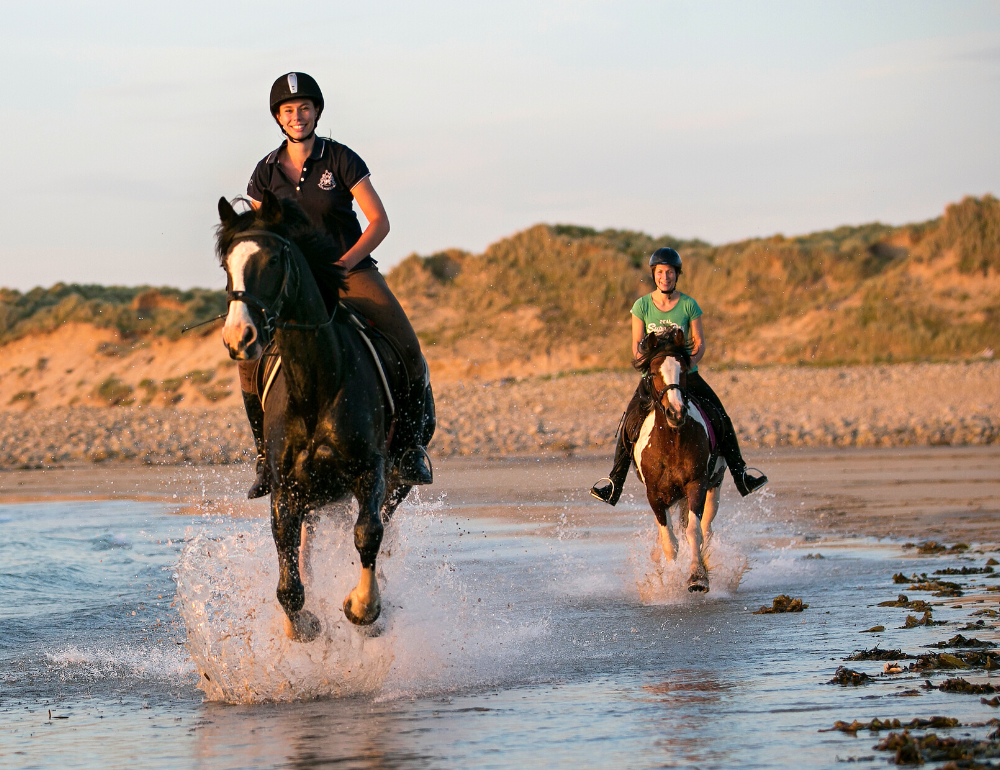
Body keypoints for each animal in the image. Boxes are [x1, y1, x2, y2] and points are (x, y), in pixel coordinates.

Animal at [217, 190, 428, 636]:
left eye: (273, 261)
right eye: (227, 265)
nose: (238, 336)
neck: (316, 381)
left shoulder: (370, 469)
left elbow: (368, 534)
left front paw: (363, 607)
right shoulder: (285, 488)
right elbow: (288, 564)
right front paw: (300, 624)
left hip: (399, 479)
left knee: (383, 527)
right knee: (307, 544)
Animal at [632, 328, 720, 592]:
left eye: (683, 371)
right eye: (653, 373)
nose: (676, 412)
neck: (671, 442)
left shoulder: (697, 484)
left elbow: (693, 532)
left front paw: (697, 577)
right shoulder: (654, 494)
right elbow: (669, 542)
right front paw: (669, 581)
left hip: (714, 484)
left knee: (706, 528)